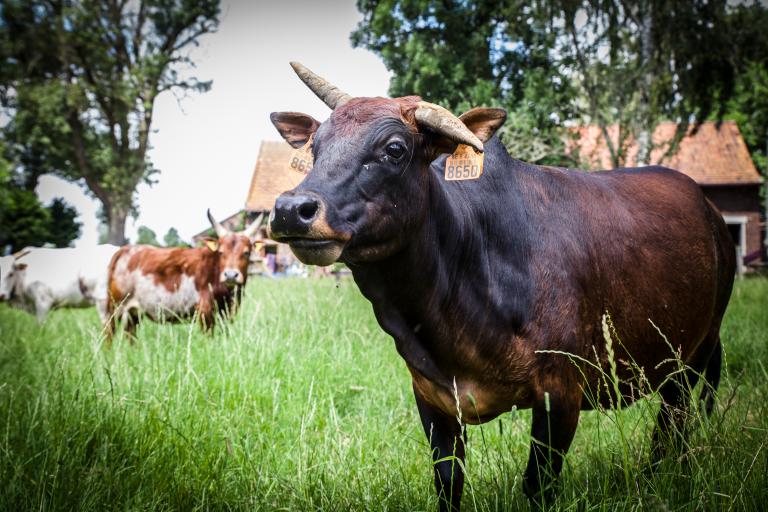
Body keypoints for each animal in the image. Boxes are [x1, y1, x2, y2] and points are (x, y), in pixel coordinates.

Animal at [104, 210, 264, 338]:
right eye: (220, 252)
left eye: (246, 252)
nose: (230, 275)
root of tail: (125, 250)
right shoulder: (205, 312)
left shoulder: (227, 312)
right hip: (115, 308)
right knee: (108, 333)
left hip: (133, 312)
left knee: (130, 335)